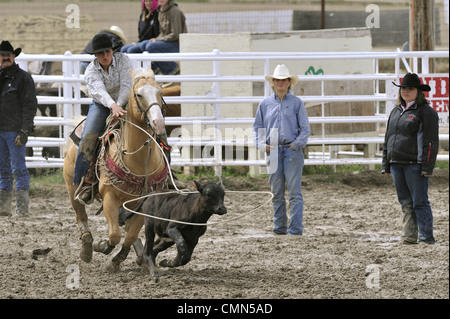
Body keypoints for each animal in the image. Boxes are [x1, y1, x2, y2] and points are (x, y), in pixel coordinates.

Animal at [62, 68, 168, 272]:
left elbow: (130, 236)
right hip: (72, 187)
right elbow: (114, 235)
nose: (158, 123)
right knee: (81, 215)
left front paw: (118, 259)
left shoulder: (142, 205)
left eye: (160, 93)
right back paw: (87, 247)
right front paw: (102, 247)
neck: (137, 159)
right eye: (138, 94)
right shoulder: (109, 198)